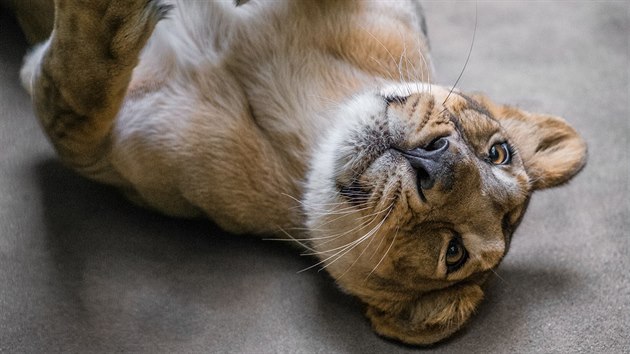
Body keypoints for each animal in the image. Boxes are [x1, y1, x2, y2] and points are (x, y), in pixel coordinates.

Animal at [2, 0, 592, 344]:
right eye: (498, 153)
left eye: (453, 254)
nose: (436, 162)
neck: (302, 117)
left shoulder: (94, 147)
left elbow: (78, 92)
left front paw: (109, 17)